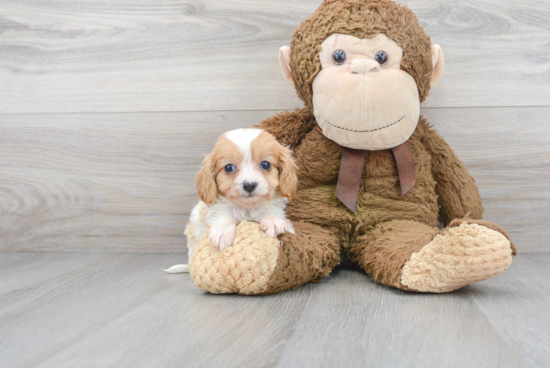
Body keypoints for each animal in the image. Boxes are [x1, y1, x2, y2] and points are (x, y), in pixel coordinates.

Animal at [166, 127, 300, 274]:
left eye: (265, 164)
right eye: (229, 167)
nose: (249, 185)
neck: (247, 207)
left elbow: (271, 212)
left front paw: (272, 221)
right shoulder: (216, 210)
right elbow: (223, 215)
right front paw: (222, 232)